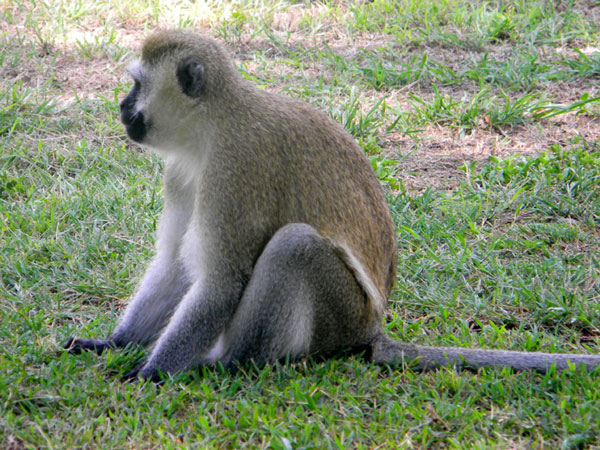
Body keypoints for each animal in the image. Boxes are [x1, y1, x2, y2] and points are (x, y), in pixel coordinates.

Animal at [63, 30, 596, 380]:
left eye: (137, 85)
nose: (122, 108)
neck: (211, 127)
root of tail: (372, 329)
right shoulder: (180, 173)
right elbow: (176, 265)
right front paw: (112, 344)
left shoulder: (236, 169)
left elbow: (221, 282)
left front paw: (148, 374)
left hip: (342, 314)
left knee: (294, 245)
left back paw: (228, 363)